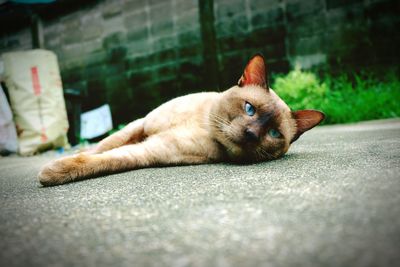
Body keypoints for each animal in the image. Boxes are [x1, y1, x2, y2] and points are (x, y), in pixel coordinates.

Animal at [37, 54, 324, 186]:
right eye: (249, 109)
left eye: (274, 134)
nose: (252, 134)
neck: (203, 122)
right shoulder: (139, 125)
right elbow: (100, 148)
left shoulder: (148, 150)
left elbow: (104, 159)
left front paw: (52, 172)